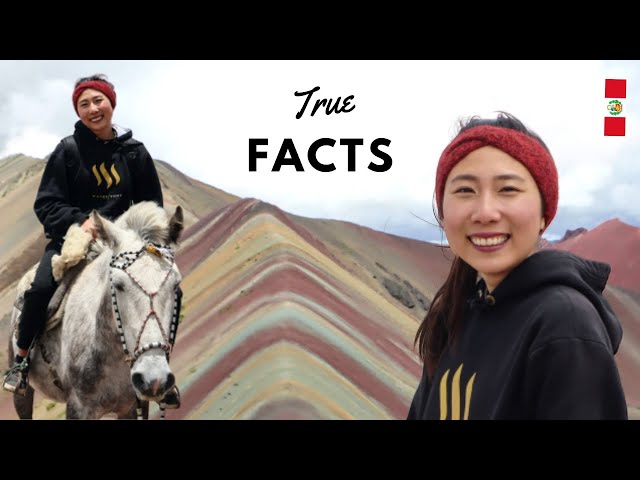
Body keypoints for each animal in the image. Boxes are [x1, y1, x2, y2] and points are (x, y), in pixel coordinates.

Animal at [6, 202, 182, 420]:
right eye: (118, 284)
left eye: (175, 285)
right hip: (23, 392)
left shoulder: (133, 405)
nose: (153, 380)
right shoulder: (79, 408)